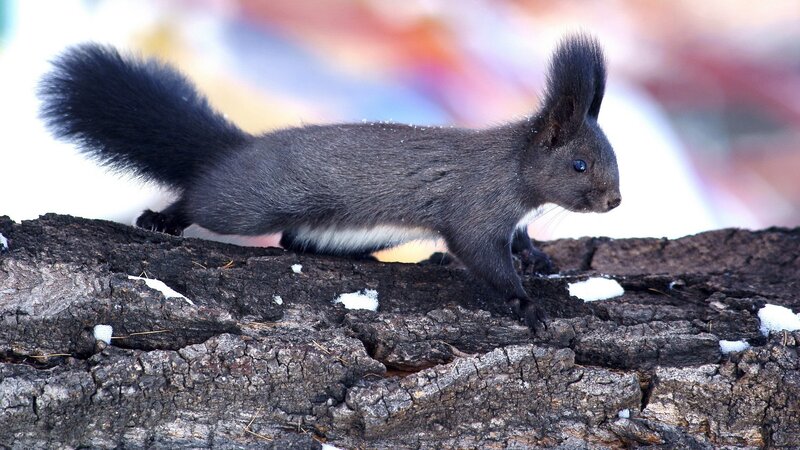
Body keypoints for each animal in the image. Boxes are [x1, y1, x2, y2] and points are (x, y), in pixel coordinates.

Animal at [39, 34, 620, 329]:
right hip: (248, 203)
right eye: (579, 165)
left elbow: (518, 241)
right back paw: (162, 218)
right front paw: (527, 304)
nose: (615, 201)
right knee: (205, 200)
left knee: (295, 240)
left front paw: (538, 259)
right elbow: (481, 255)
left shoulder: (509, 217)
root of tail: (237, 151)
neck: (514, 170)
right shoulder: (475, 206)